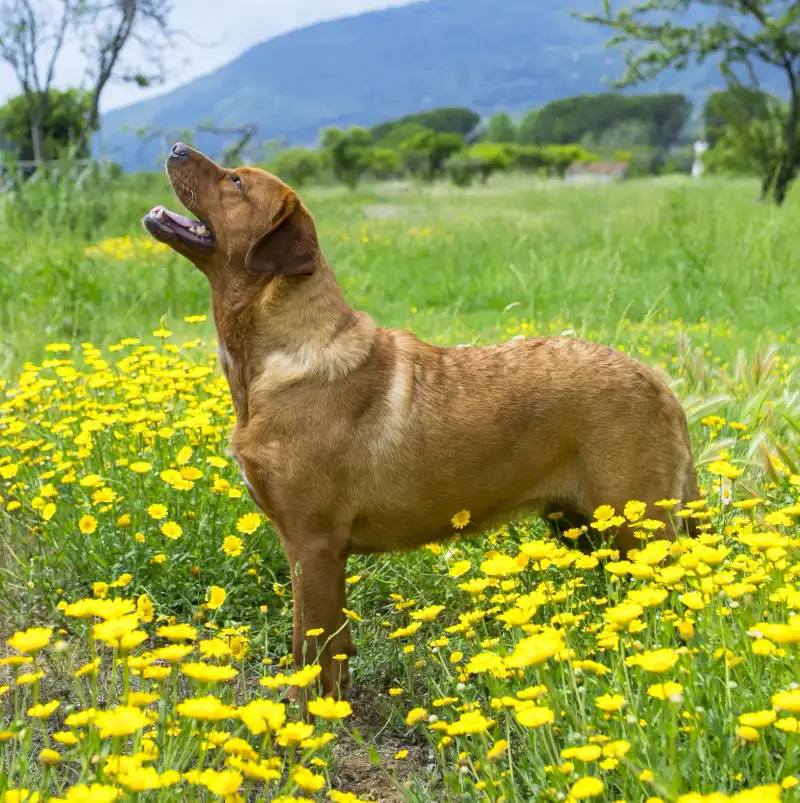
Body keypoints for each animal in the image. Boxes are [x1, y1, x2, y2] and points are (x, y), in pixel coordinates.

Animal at [144, 143, 700, 696]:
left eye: (235, 181)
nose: (175, 147)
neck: (271, 358)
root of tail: (658, 381)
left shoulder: (313, 544)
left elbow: (309, 654)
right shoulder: (315, 552)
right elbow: (332, 651)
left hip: (639, 525)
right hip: (583, 528)